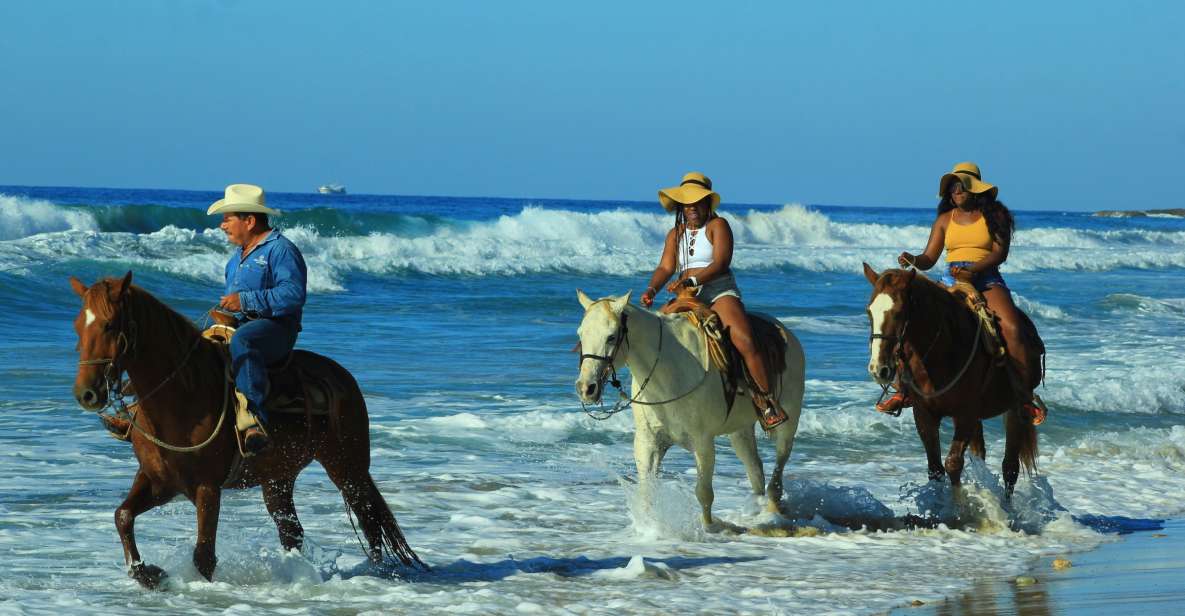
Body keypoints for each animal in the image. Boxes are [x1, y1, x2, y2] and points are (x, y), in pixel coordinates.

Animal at [69, 273, 421, 587]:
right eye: (77, 326)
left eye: (110, 324)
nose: (86, 394)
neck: (182, 396)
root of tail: (343, 377)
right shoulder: (158, 481)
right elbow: (123, 516)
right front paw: (149, 575)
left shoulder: (207, 487)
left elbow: (204, 556)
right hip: (279, 479)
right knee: (292, 532)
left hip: (347, 467)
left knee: (368, 519)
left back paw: (374, 573)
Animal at [573, 290, 805, 528]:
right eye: (581, 334)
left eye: (611, 336)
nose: (586, 388)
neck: (667, 370)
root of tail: (785, 332)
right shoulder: (647, 441)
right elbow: (647, 489)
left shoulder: (702, 442)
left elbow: (704, 493)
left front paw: (707, 528)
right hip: (740, 430)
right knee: (755, 469)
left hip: (789, 420)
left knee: (779, 463)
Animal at [862, 261, 1038, 497]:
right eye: (869, 312)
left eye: (899, 313)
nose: (878, 369)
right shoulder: (924, 413)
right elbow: (935, 469)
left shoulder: (965, 413)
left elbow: (953, 463)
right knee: (979, 456)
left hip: (1015, 409)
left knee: (1010, 467)